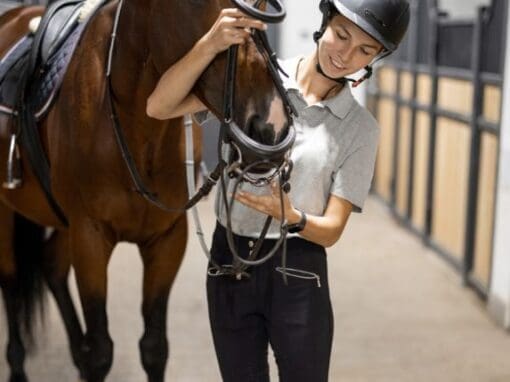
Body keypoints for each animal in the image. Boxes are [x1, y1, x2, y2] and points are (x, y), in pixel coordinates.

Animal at [0, 0, 292, 382]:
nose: (271, 126)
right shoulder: (90, 237)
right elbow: (101, 350)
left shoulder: (167, 240)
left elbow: (154, 347)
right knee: (10, 279)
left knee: (51, 266)